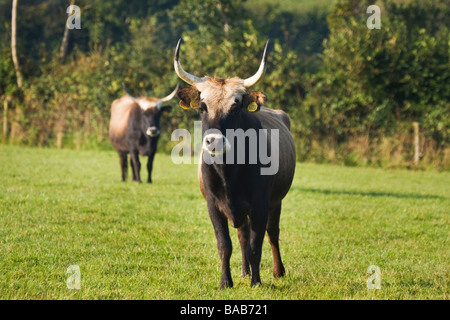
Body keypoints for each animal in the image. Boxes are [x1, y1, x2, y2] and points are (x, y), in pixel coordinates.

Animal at [174, 39, 298, 288]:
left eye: (235, 107)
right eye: (202, 107)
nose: (214, 141)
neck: (229, 172)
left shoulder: (260, 205)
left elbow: (256, 246)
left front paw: (257, 283)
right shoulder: (214, 206)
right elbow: (225, 245)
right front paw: (226, 282)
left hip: (276, 202)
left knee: (272, 233)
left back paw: (277, 271)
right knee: (242, 236)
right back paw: (244, 272)